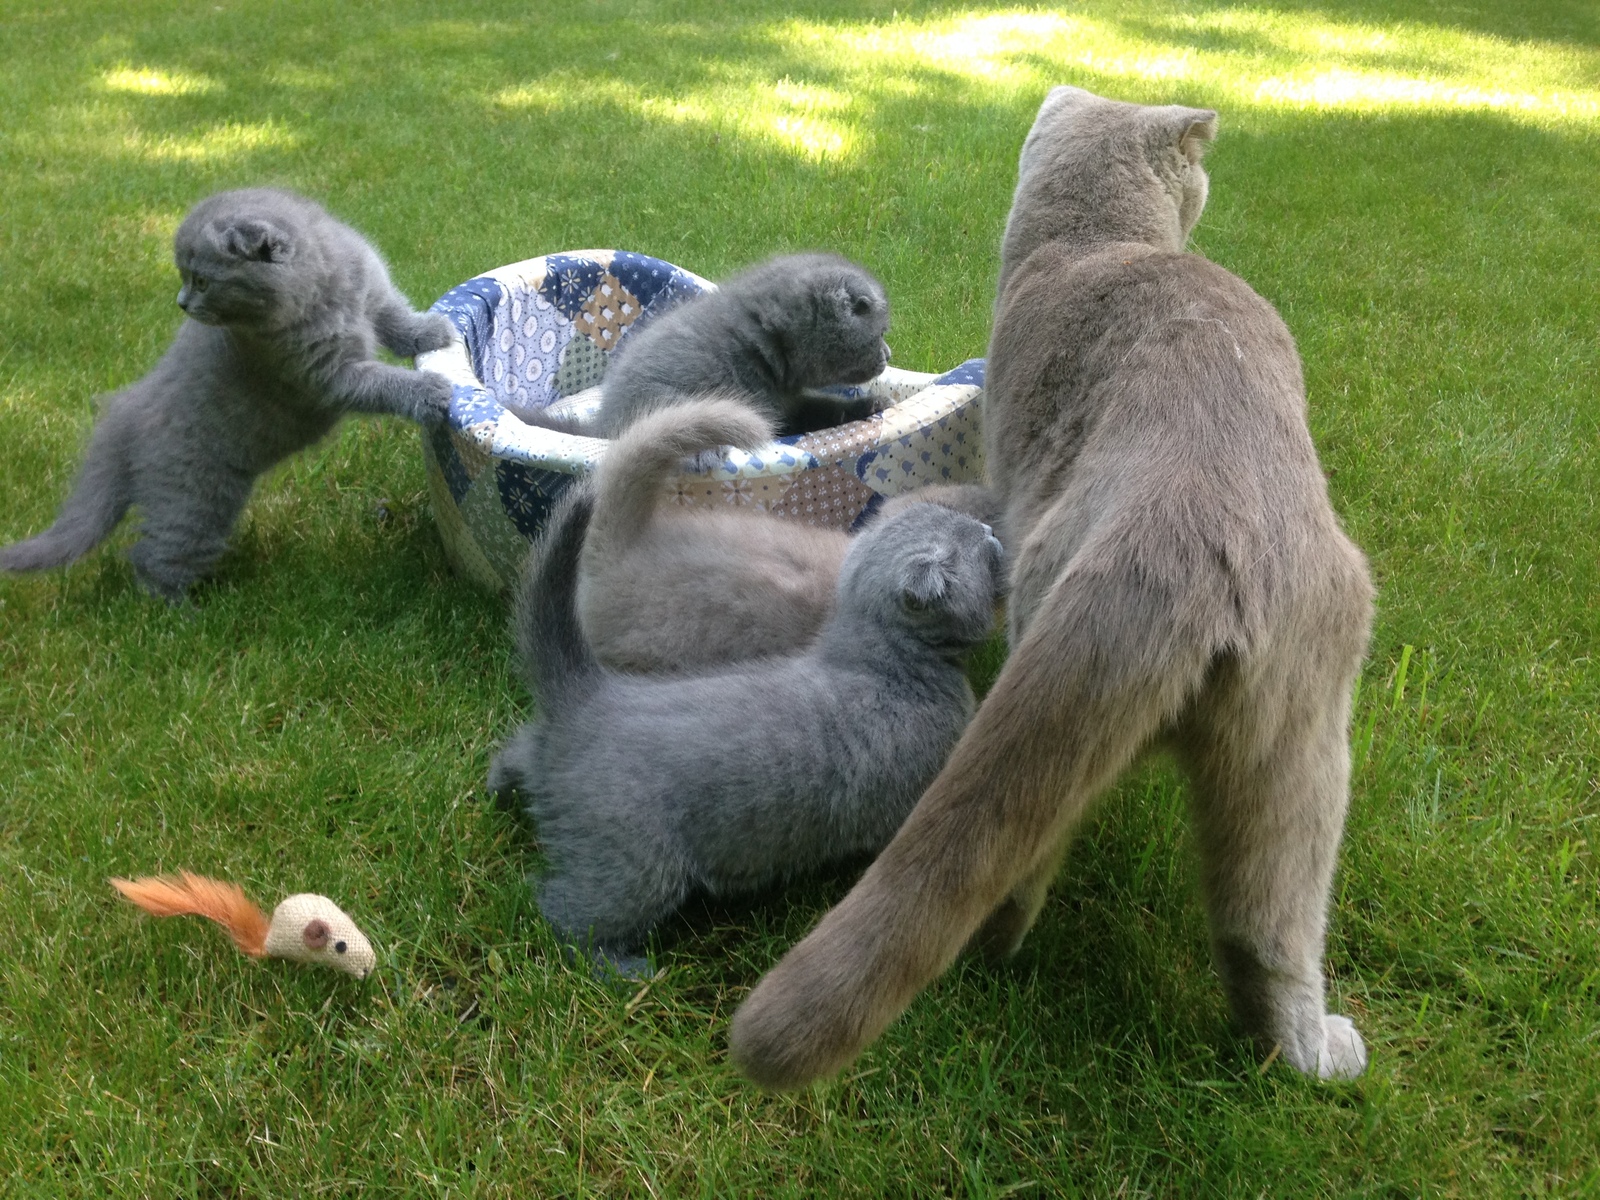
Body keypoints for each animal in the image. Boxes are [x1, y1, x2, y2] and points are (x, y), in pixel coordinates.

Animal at [3, 188, 460, 601]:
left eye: (201, 280)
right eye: (189, 279)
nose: (181, 303)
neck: (326, 295)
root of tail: (122, 421)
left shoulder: (372, 294)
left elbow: (395, 318)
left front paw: (432, 331)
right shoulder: (327, 376)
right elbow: (380, 383)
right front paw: (429, 389)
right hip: (196, 501)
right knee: (154, 557)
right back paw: (178, 614)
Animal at [486, 486, 998, 979]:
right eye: (981, 548)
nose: (992, 530)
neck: (879, 664)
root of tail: (587, 699)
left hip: (556, 774)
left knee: (515, 749)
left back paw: (497, 788)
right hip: (636, 865)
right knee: (560, 914)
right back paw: (622, 970)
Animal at [732, 89, 1376, 1088]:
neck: (1091, 241)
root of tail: (1180, 527)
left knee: (1018, 867)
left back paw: (989, 965)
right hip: (1297, 741)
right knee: (1265, 930)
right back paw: (1313, 1053)